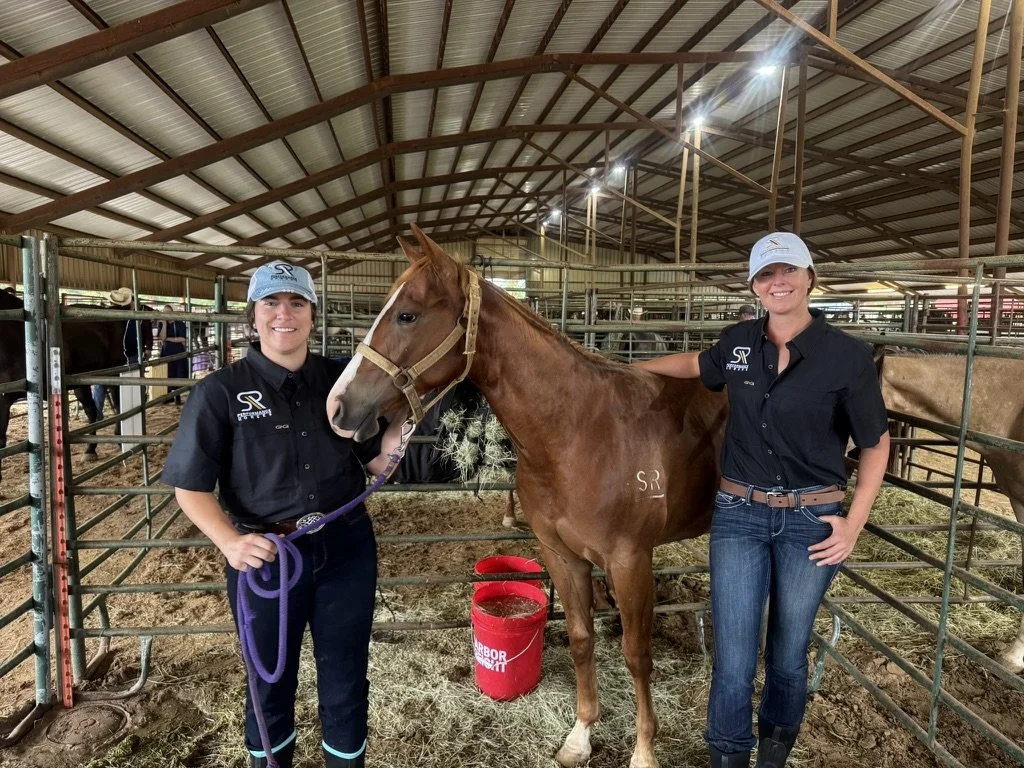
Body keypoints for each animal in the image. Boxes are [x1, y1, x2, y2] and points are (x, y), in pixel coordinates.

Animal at [0, 292, 154, 481]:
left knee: (116, 406)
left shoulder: (4, 399)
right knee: (92, 411)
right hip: (83, 383)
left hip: (114, 374)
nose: (147, 350)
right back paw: (90, 449)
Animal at [326, 224, 729, 768]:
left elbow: (637, 655)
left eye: (407, 314)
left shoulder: (630, 561)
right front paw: (580, 735)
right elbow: (581, 639)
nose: (337, 406)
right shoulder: (561, 555)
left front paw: (644, 750)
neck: (580, 430)